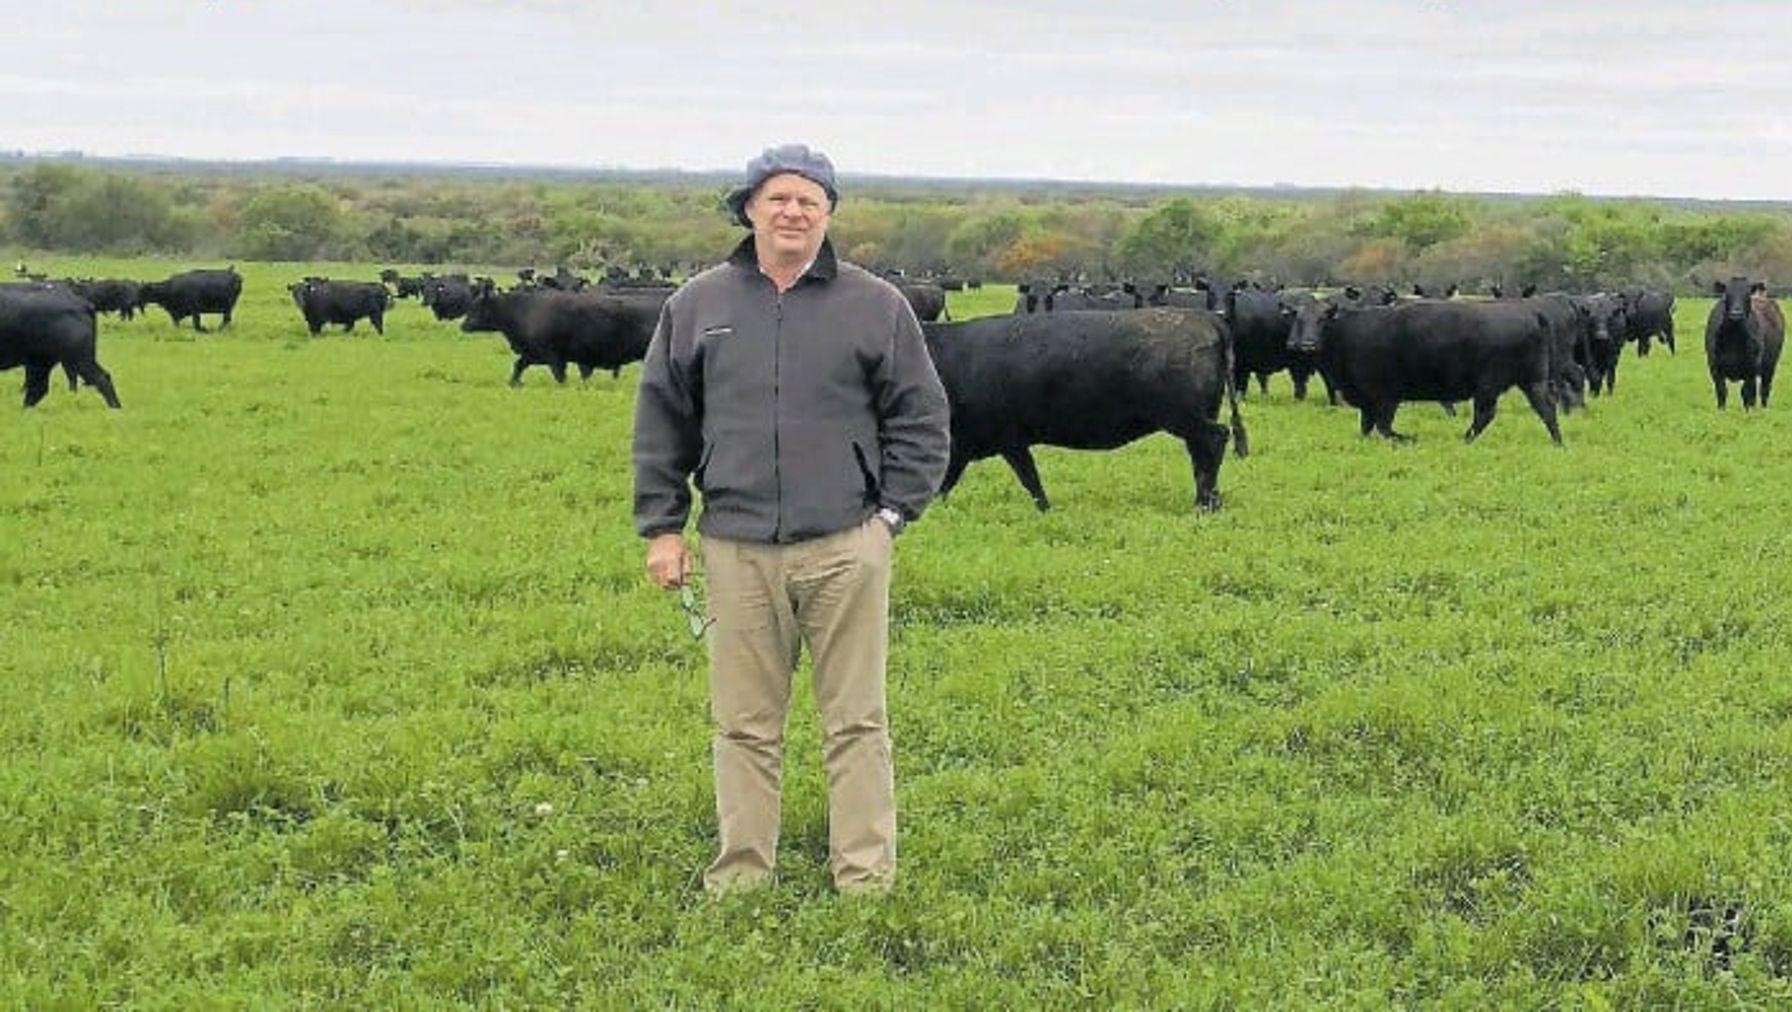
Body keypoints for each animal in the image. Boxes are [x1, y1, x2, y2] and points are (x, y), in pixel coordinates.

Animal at [458, 283, 670, 385]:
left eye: (476, 307)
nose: (463, 325)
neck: (524, 310)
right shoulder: (533, 353)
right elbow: (518, 365)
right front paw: (514, 383)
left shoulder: (553, 356)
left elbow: (559, 376)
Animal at [924, 306, 1247, 512]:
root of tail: (1205, 317)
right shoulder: (973, 443)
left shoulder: (1002, 439)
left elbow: (1030, 480)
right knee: (1200, 453)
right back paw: (1208, 500)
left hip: (1185, 417)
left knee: (1215, 440)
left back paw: (1205, 503)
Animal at [1290, 297, 1569, 444]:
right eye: (1299, 320)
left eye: (1323, 320)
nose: (1308, 344)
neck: (1349, 331)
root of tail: (1530, 312)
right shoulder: (1369, 400)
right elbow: (1368, 426)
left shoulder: (1385, 397)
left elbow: (1383, 426)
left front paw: (1407, 438)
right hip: (1532, 381)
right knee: (1546, 408)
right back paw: (1557, 441)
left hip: (1489, 386)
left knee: (1485, 415)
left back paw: (1465, 439)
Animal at [1705, 274, 1777, 408]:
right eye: (1727, 294)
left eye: (1747, 294)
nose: (1736, 313)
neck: (1734, 337)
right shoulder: (1715, 368)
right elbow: (1722, 391)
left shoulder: (1751, 368)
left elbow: (1746, 393)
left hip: (1770, 366)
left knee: (1764, 389)